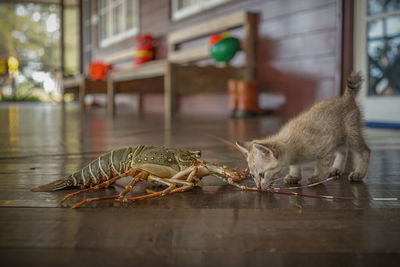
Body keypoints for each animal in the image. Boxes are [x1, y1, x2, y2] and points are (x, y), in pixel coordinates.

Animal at [236, 73, 370, 191]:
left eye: (262, 174)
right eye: (252, 175)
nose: (258, 187)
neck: (293, 146)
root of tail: (346, 97)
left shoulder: (327, 146)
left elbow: (322, 164)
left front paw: (318, 177)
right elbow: (295, 165)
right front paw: (294, 175)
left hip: (351, 134)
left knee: (365, 151)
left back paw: (359, 173)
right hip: (340, 137)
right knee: (343, 151)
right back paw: (337, 168)